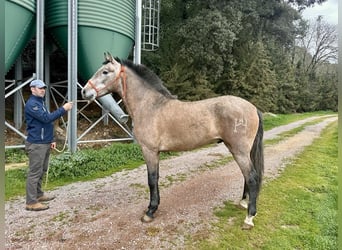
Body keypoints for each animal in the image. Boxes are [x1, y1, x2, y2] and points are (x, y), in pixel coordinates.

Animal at [81, 51, 264, 229]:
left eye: (105, 72)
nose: (84, 91)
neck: (150, 106)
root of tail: (253, 108)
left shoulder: (149, 151)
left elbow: (151, 180)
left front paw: (150, 211)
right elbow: (155, 178)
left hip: (239, 151)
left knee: (252, 178)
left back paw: (249, 218)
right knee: (247, 176)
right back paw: (243, 203)